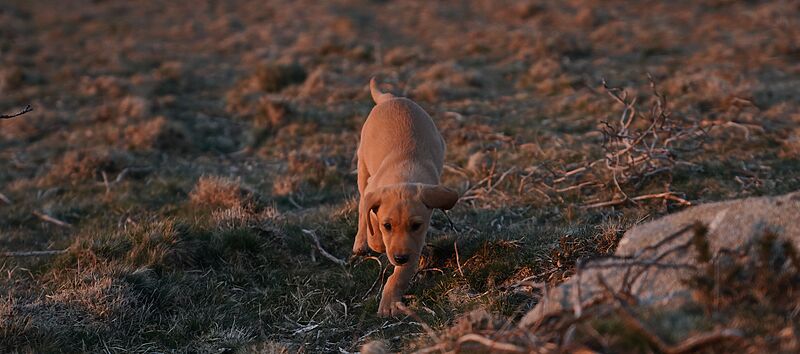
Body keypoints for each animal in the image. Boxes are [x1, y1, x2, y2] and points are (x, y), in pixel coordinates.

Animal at [354, 79, 460, 316]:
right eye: (387, 225)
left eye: (416, 225)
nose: (400, 258)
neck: (404, 176)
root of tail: (391, 98)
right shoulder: (374, 193)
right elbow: (370, 216)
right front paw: (376, 242)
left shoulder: (414, 244)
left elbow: (400, 276)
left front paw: (389, 302)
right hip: (362, 166)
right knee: (361, 208)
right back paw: (361, 243)